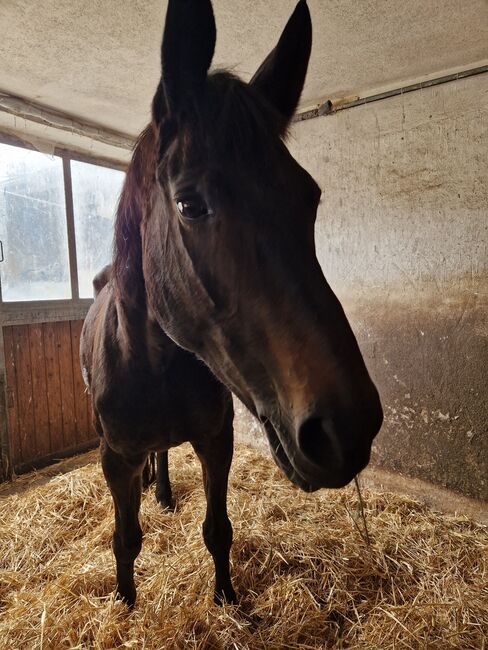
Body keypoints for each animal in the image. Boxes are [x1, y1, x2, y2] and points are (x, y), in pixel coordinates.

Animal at [81, 0, 382, 608]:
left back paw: (164, 492)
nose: (348, 428)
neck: (156, 366)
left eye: (310, 197)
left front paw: (226, 600)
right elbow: (125, 539)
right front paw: (124, 604)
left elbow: (218, 530)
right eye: (189, 204)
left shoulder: (216, 441)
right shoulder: (114, 458)